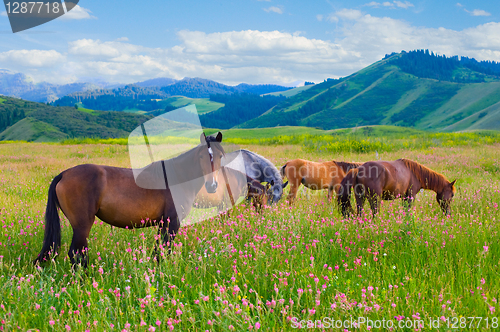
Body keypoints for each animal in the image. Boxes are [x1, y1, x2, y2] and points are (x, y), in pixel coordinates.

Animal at [33, 132, 225, 268]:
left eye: (220, 156)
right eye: (201, 156)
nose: (212, 185)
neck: (176, 176)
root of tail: (64, 174)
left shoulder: (163, 223)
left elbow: (158, 251)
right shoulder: (172, 221)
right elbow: (164, 250)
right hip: (82, 226)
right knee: (76, 254)